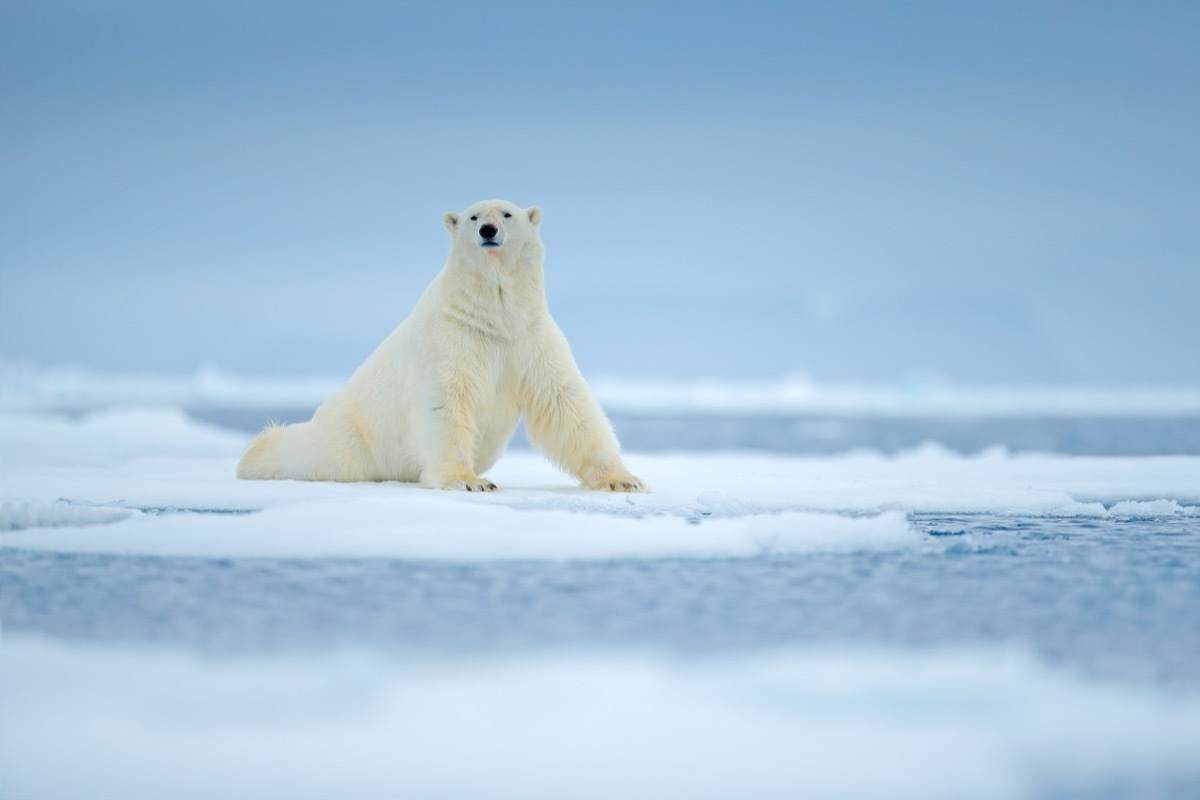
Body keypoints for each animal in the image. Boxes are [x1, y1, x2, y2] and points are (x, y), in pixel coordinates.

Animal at [237, 199, 647, 493]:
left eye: (508, 213)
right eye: (473, 215)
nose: (488, 229)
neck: (494, 316)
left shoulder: (530, 336)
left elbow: (565, 402)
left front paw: (624, 479)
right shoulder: (453, 337)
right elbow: (446, 401)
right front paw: (470, 481)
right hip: (353, 436)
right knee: (310, 452)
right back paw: (254, 454)